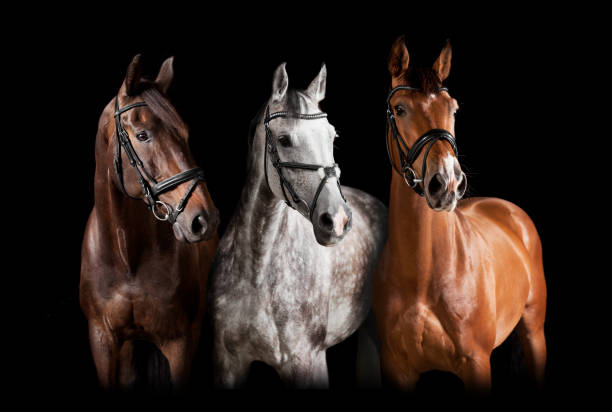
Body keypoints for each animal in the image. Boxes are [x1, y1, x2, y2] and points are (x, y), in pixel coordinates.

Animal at [78, 55, 218, 392]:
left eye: (185, 133)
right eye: (143, 135)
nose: (203, 220)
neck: (127, 257)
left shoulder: (180, 345)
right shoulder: (103, 341)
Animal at [208, 62, 384, 388]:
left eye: (332, 137)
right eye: (284, 140)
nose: (337, 220)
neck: (257, 270)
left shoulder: (306, 362)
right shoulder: (227, 364)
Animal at [370, 36, 548, 392]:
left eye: (452, 108)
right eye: (400, 109)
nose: (448, 182)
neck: (422, 275)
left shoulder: (476, 363)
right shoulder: (396, 367)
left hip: (534, 331)